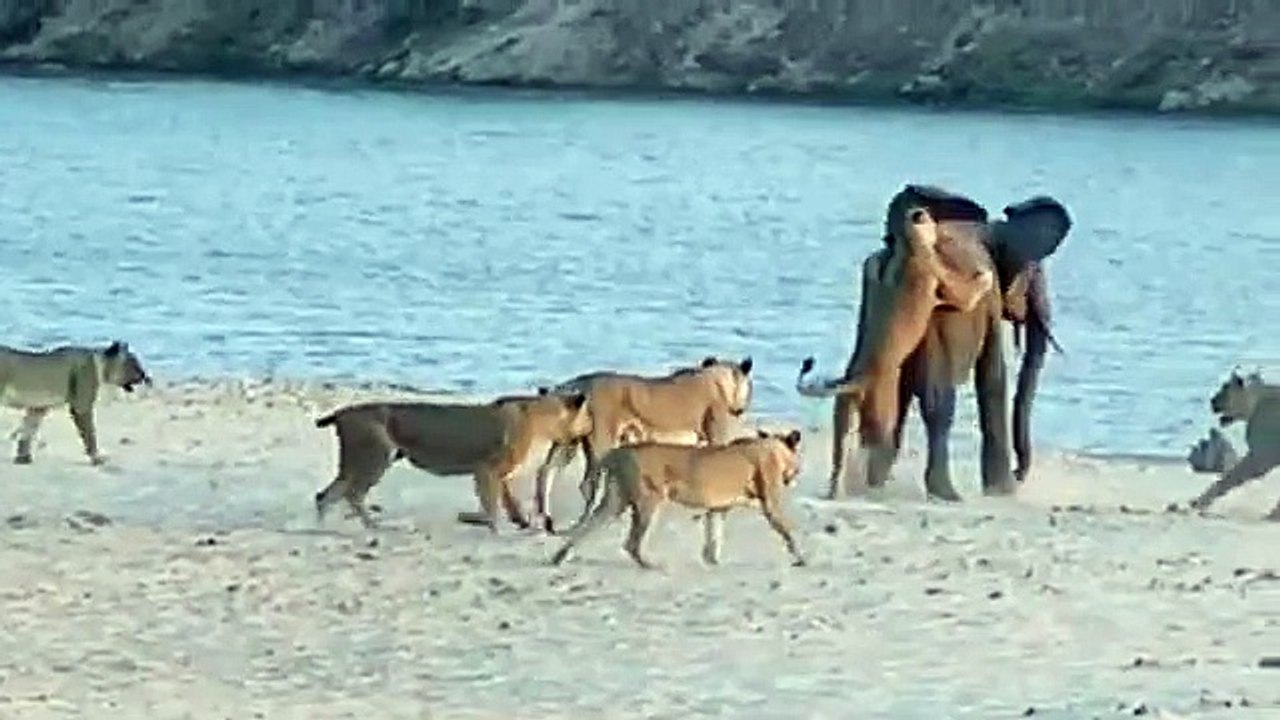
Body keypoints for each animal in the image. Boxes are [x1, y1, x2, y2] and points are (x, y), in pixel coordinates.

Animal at [0, 340, 151, 465]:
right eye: (133, 363)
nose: (144, 376)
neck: (99, 364)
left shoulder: (38, 407)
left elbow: (28, 430)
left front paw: (23, 458)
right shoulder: (81, 406)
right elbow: (90, 434)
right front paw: (96, 458)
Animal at [312, 389, 592, 532]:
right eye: (588, 415)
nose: (591, 428)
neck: (544, 417)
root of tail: (341, 412)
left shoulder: (498, 474)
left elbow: (508, 500)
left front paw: (518, 520)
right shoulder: (486, 470)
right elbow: (491, 504)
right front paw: (494, 526)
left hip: (358, 462)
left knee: (326, 495)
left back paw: (323, 528)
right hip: (375, 459)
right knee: (351, 494)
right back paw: (375, 526)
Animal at [549, 429, 806, 569]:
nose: (794, 475)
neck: (771, 447)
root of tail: (619, 451)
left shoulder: (718, 508)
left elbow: (714, 534)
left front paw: (712, 560)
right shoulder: (770, 504)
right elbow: (788, 531)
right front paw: (802, 558)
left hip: (615, 501)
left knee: (586, 527)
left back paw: (559, 556)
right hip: (648, 500)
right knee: (631, 543)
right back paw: (651, 566)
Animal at [798, 184, 1072, 500]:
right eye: (1036, 273)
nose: (1019, 474)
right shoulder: (977, 301)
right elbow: (992, 376)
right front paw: (1002, 491)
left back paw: (864, 488)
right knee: (935, 402)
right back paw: (944, 494)